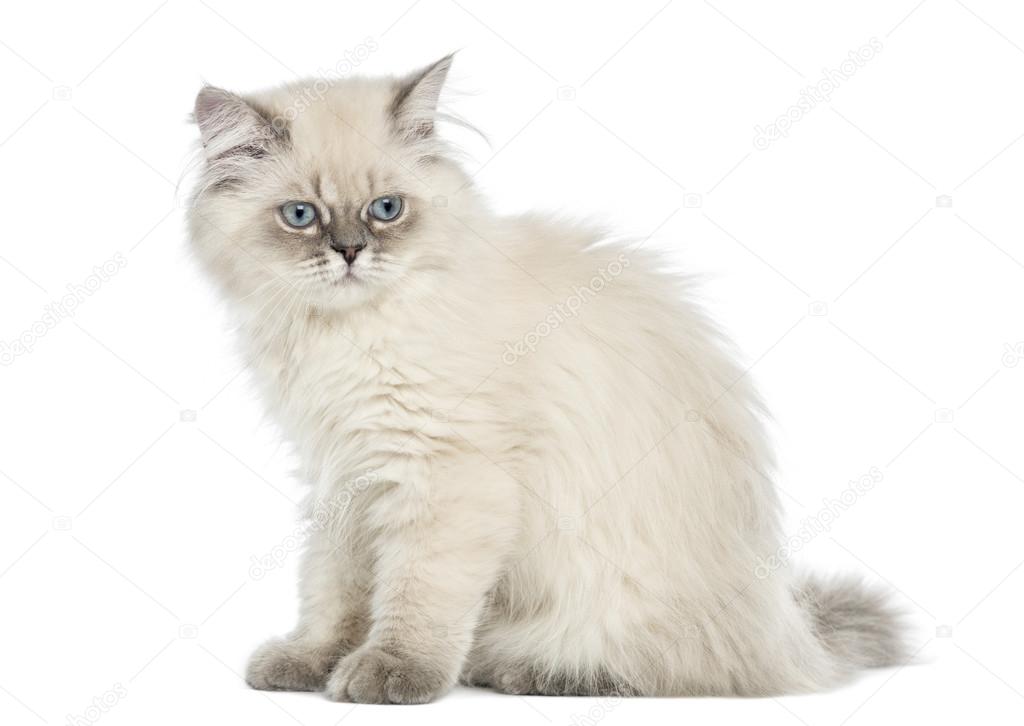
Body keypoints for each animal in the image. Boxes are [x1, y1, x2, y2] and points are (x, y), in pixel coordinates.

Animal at [186, 55, 905, 700]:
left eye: (386, 209)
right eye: (300, 216)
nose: (350, 253)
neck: (346, 335)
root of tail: (793, 631)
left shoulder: (441, 474)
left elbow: (416, 594)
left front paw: (390, 674)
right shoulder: (343, 474)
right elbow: (333, 589)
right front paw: (311, 661)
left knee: (671, 669)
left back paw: (524, 673)